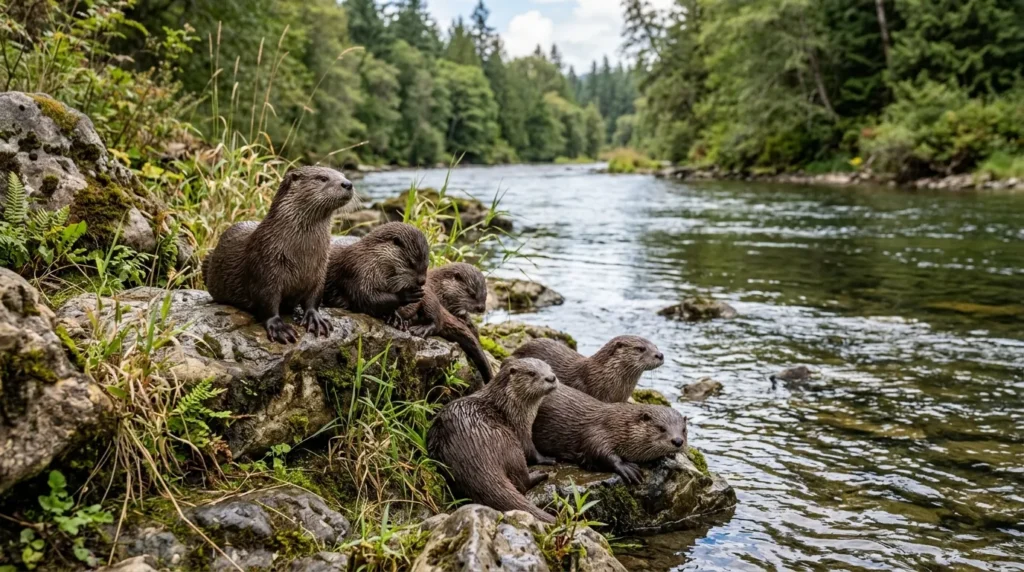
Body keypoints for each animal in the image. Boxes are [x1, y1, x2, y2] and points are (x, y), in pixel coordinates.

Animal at [202, 166, 354, 344]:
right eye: (322, 178)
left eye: (343, 175)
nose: (348, 184)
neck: (302, 255)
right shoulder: (265, 266)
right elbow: (267, 302)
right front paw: (279, 327)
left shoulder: (320, 270)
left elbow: (314, 298)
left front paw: (315, 318)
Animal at [427, 358, 558, 523]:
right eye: (531, 373)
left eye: (550, 368)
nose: (551, 378)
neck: (509, 404)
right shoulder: (520, 428)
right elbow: (531, 451)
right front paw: (547, 458)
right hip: (509, 442)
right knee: (522, 482)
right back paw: (539, 474)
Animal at [532, 384, 687, 484]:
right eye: (661, 428)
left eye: (684, 429)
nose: (678, 441)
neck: (619, 426)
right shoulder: (597, 432)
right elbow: (597, 450)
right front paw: (626, 467)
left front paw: (669, 455)